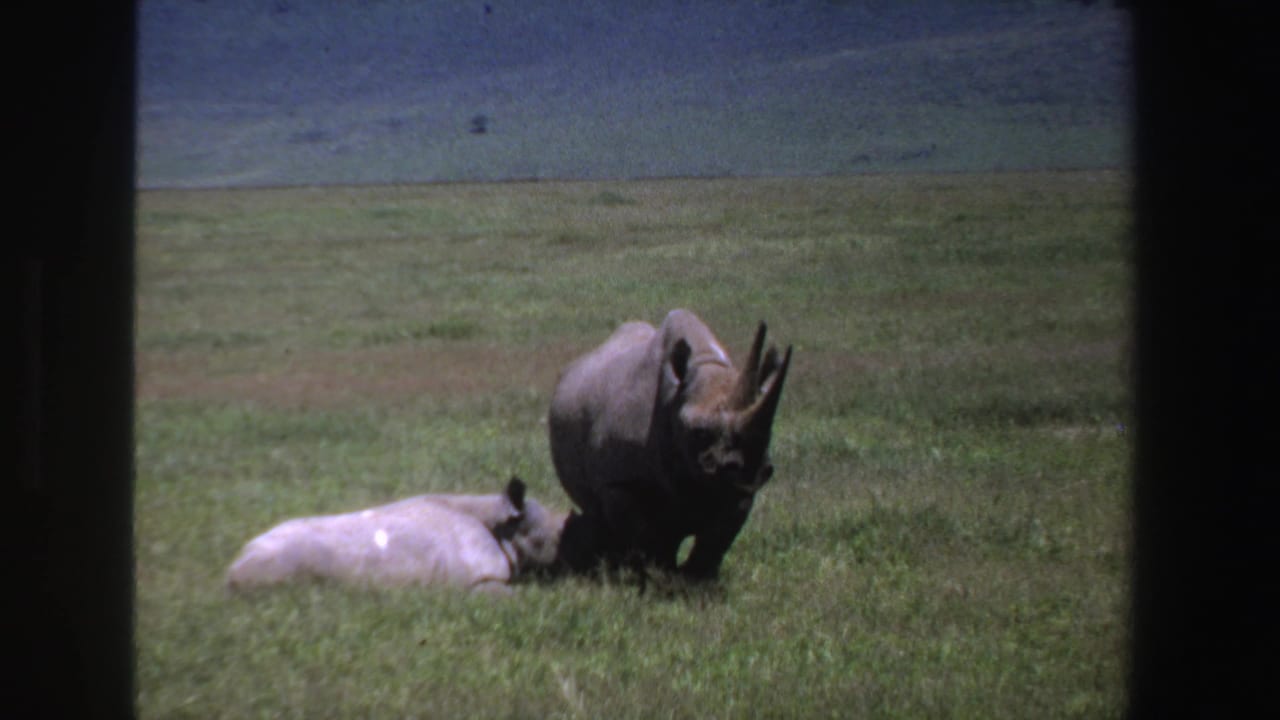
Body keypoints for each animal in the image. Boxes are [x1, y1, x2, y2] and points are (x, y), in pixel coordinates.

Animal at [549, 309, 792, 580]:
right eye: (699, 432)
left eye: (769, 432)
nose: (749, 469)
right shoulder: (619, 482)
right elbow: (644, 534)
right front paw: (657, 576)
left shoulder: (739, 490)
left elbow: (717, 537)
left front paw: (696, 580)